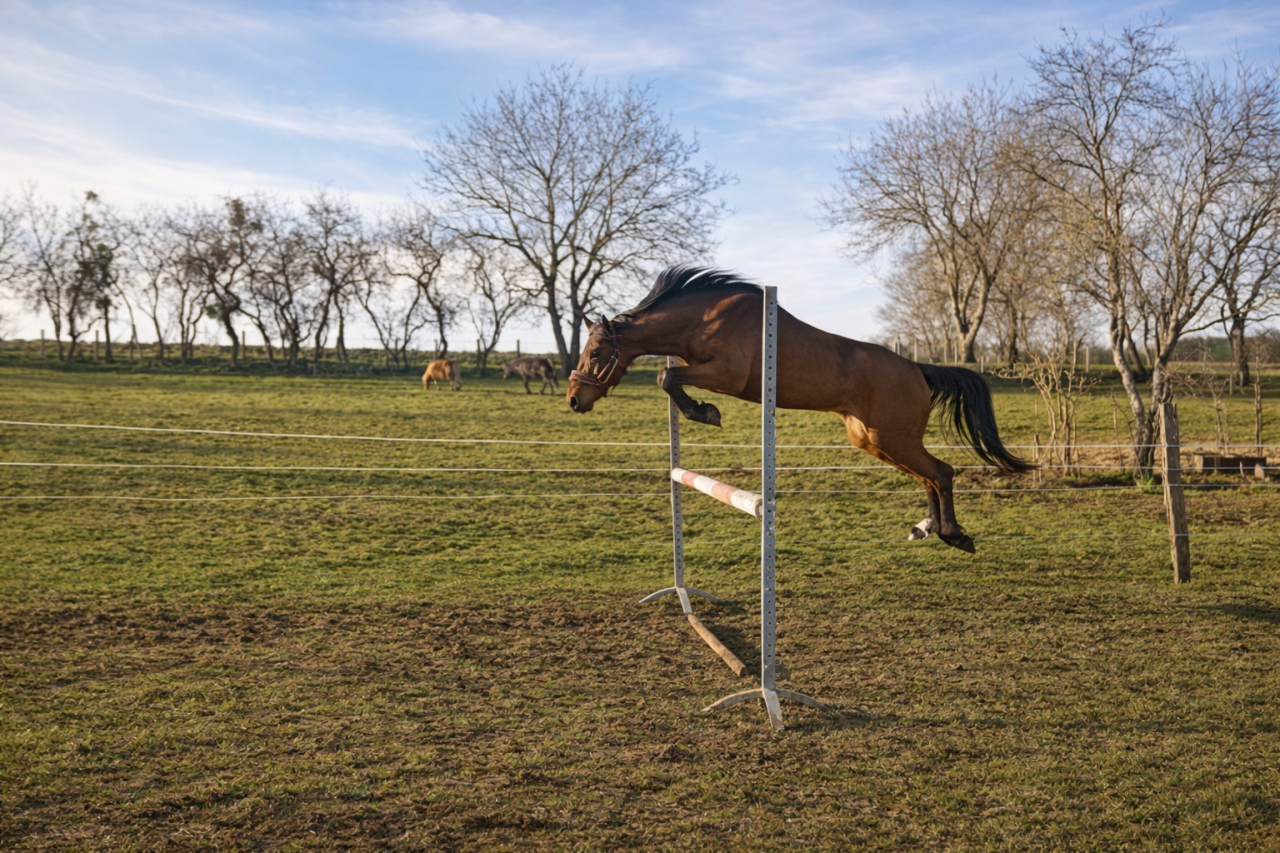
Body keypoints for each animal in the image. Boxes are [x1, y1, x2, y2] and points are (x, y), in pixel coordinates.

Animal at [566, 266, 1033, 553]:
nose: (574, 400)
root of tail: (918, 368)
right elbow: (670, 377)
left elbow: (667, 377)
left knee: (942, 472)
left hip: (892, 438)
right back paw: (928, 529)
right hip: (875, 441)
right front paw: (701, 410)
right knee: (929, 476)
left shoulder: (727, 375)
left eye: (595, 354)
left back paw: (955, 536)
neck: (704, 318)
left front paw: (705, 412)